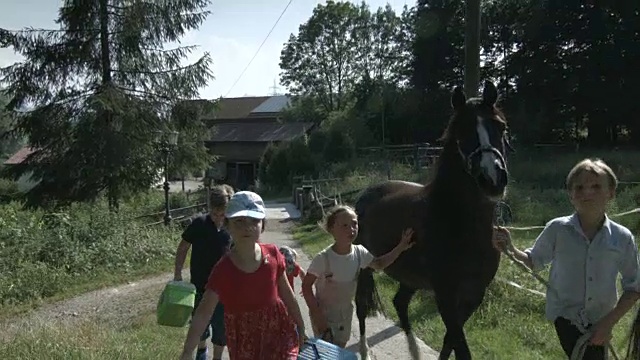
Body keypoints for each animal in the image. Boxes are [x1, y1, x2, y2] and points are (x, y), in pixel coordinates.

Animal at [352, 81, 512, 360]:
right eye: (461, 131)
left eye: (500, 126)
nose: (493, 179)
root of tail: (366, 194)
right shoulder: (445, 295)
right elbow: (460, 346)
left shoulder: (473, 295)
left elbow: (450, 341)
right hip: (366, 268)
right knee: (361, 305)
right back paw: (365, 350)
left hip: (408, 275)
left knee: (400, 302)